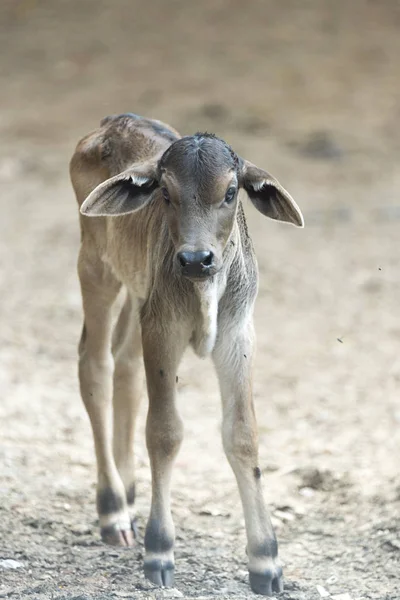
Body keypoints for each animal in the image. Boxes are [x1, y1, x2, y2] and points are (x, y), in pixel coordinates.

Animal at [69, 112, 304, 596]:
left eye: (231, 192)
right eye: (164, 191)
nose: (196, 259)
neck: (204, 290)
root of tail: (112, 122)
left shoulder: (237, 334)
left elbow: (243, 434)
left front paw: (266, 560)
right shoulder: (163, 330)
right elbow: (165, 432)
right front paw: (159, 550)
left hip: (137, 290)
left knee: (124, 364)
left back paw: (130, 489)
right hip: (95, 265)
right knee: (95, 365)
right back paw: (113, 509)